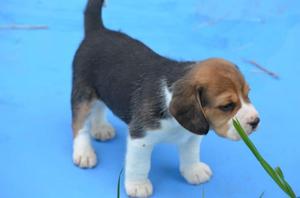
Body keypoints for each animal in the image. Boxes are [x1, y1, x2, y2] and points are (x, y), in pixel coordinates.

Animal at [71, 0, 258, 197]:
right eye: (227, 106)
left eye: (247, 94)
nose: (256, 121)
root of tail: (97, 30)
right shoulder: (141, 138)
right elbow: (140, 165)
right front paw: (138, 185)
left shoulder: (192, 135)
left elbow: (191, 154)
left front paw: (194, 171)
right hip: (83, 94)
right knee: (79, 124)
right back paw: (84, 152)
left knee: (99, 106)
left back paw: (100, 128)